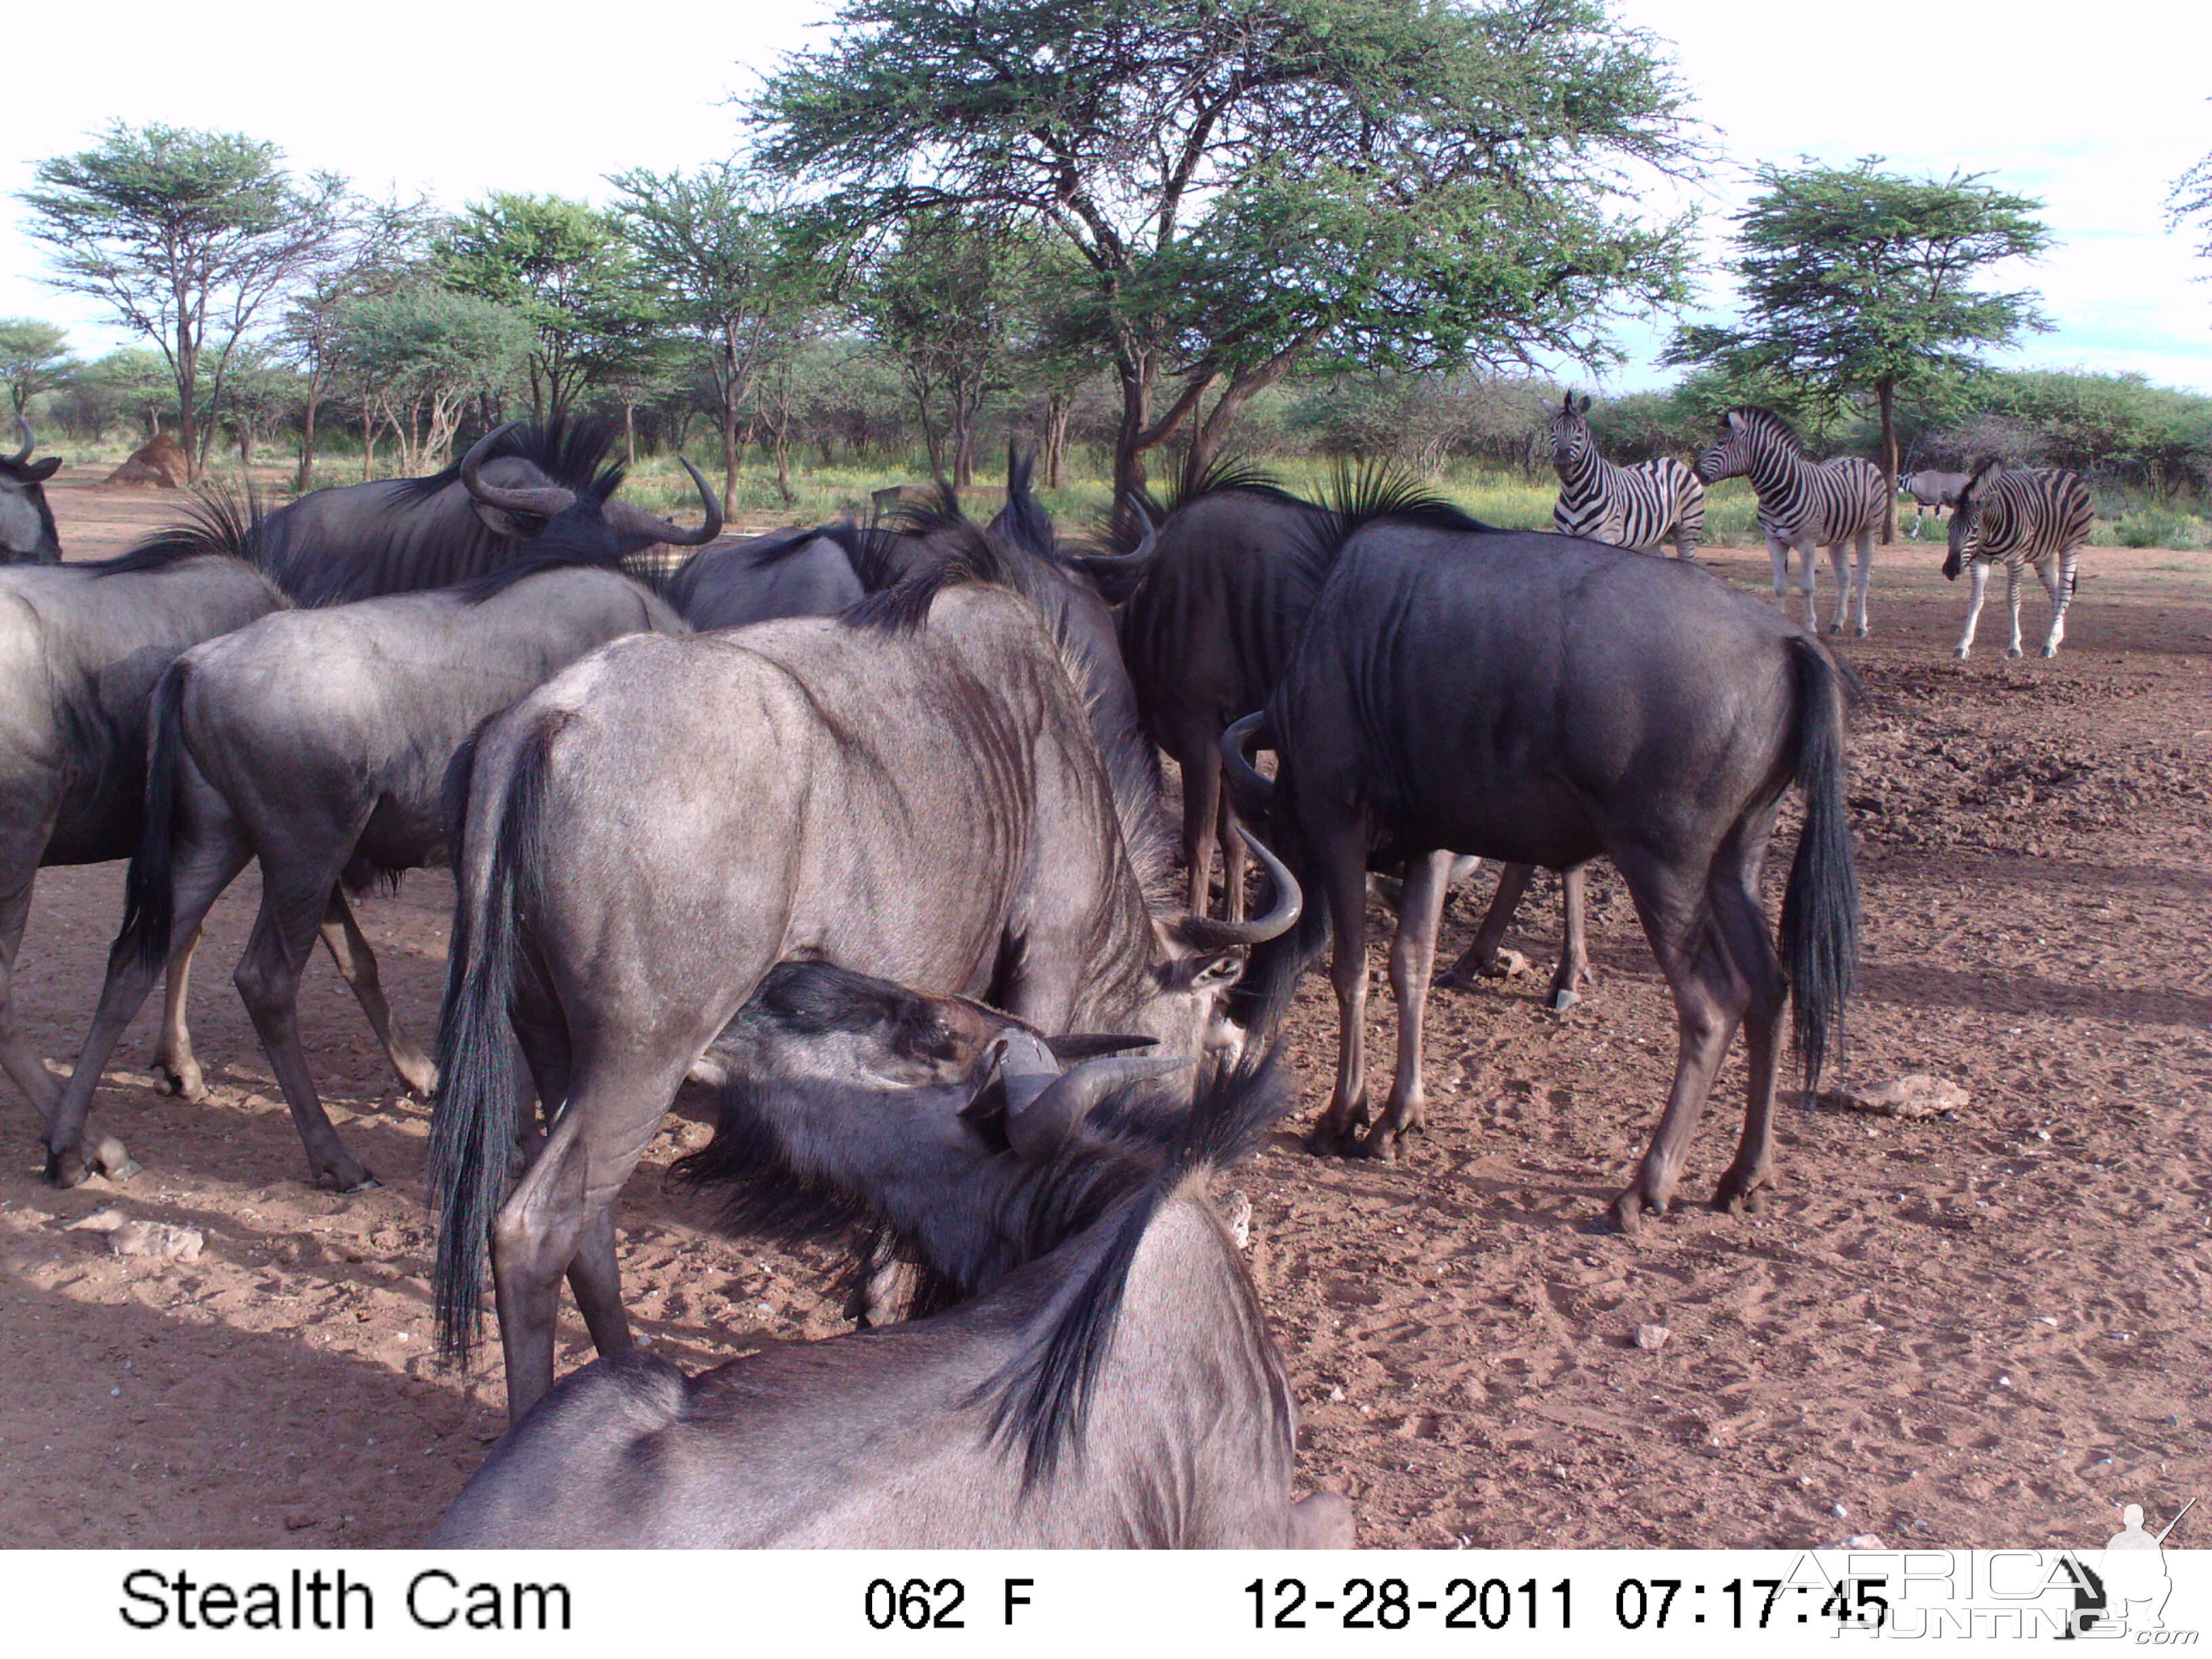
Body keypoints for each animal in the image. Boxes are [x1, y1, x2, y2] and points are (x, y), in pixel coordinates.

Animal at [1548, 393, 1698, 559]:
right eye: (1552, 429)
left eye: (1580, 430)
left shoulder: (1606, 537)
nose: (1562, 465)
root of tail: (1673, 461)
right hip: (1651, 538)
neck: (1573, 494)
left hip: (1688, 529)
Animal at [1689, 407, 1884, 637]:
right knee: (1844, 577)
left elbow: (1807, 586)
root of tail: (1856, 458)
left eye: (1721, 443)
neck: (1776, 493)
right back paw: (1837, 623)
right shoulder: (1773, 542)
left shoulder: (1807, 543)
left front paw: (1810, 626)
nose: (1694, 469)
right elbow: (1780, 586)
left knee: (1862, 578)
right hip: (1840, 536)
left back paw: (1861, 626)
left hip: (1869, 530)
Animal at [1938, 462, 2088, 663]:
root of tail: (2065, 472)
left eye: (1975, 529)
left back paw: (2049, 644)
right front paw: (1963, 645)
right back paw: (2055, 638)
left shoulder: (2016, 559)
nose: (1951, 569)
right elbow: (1976, 601)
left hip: (2072, 545)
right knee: (2056, 592)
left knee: (2064, 591)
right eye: (1949, 527)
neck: (1990, 531)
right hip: (2044, 555)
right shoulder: (1979, 560)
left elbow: (2012, 600)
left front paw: (2015, 647)